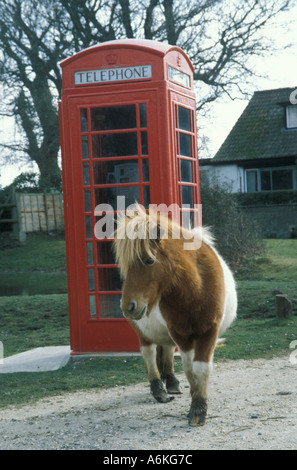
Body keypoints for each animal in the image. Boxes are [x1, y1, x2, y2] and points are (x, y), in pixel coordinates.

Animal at [113, 207, 236, 426]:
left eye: (149, 260)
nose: (128, 306)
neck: (196, 289)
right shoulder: (181, 334)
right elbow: (189, 368)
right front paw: (196, 403)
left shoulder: (208, 333)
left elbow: (201, 368)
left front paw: (198, 408)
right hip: (145, 334)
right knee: (149, 354)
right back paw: (158, 389)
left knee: (167, 351)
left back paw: (171, 382)